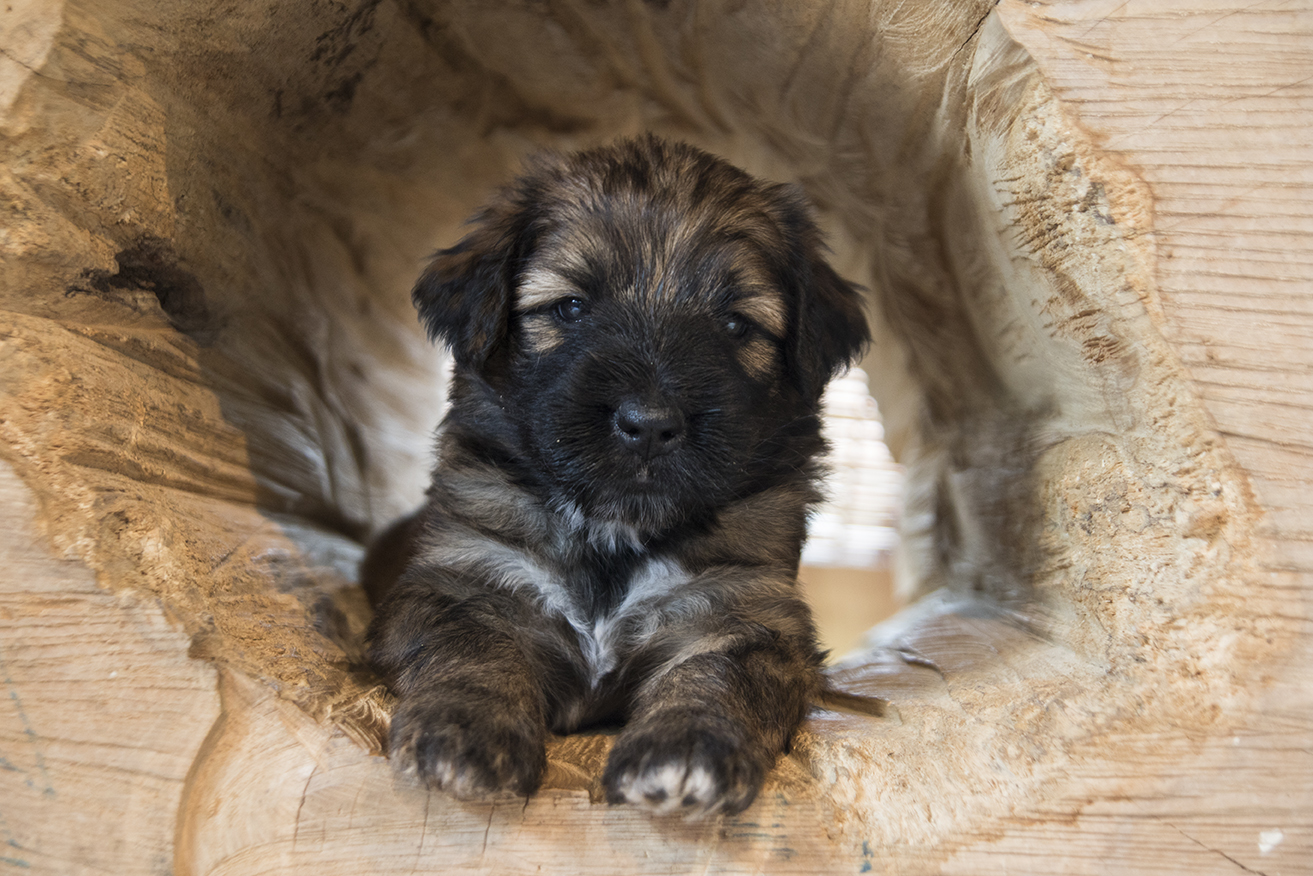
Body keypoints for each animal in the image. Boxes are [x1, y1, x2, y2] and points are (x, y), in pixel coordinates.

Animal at [364, 135, 870, 817]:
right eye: (571, 307)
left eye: (736, 325)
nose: (649, 425)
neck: (613, 534)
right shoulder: (464, 583)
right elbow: (474, 654)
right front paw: (467, 731)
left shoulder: (741, 612)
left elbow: (717, 676)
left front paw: (687, 748)